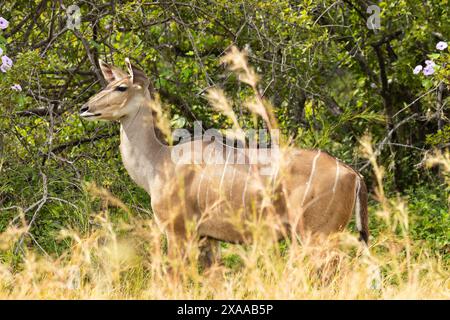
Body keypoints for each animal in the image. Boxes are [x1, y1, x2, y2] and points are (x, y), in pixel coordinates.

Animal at [80, 58, 370, 268]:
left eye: (121, 87)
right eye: (108, 83)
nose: (85, 108)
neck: (159, 161)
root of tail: (354, 176)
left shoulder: (177, 231)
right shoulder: (209, 237)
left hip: (317, 235)